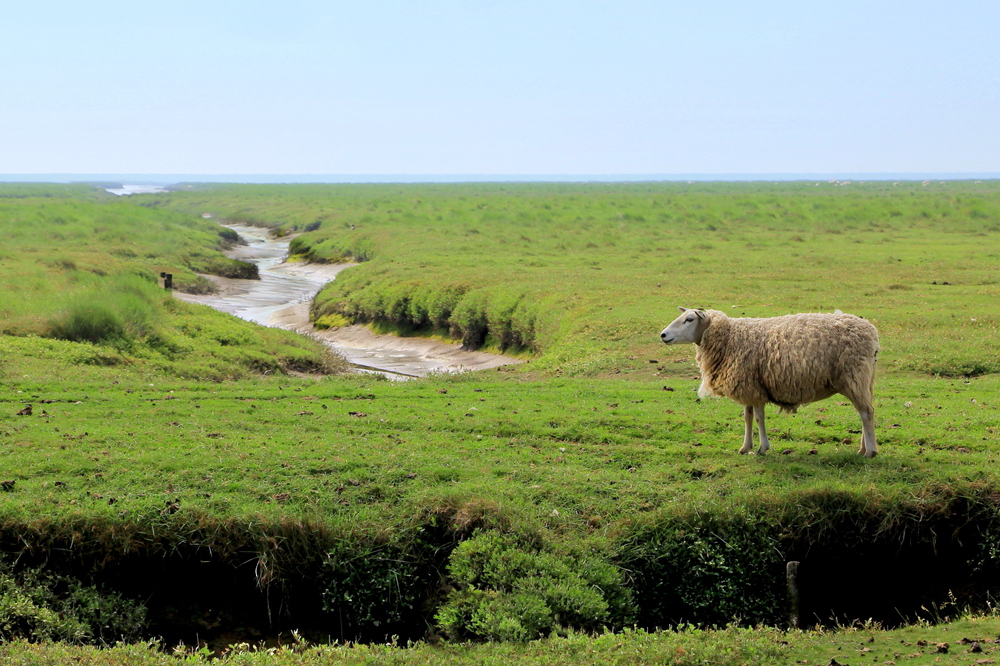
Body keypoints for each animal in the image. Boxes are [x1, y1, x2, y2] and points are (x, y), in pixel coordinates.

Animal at [660, 308, 880, 456]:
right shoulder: (747, 385)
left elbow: (758, 418)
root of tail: (871, 332)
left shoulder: (755, 388)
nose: (663, 335)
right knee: (864, 412)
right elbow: (747, 417)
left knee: (866, 413)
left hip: (854, 376)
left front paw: (762, 448)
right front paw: (745, 447)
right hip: (865, 380)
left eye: (689, 319)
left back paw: (870, 452)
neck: (729, 337)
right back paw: (862, 449)